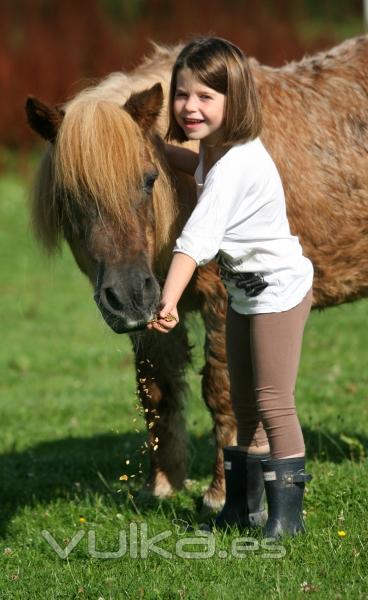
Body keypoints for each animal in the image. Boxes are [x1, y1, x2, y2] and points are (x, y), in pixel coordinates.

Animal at [25, 34, 368, 510]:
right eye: (68, 196)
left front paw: (220, 494)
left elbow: (222, 392)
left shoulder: (223, 303)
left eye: (149, 180)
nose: (130, 297)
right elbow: (157, 390)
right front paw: (163, 485)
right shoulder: (155, 316)